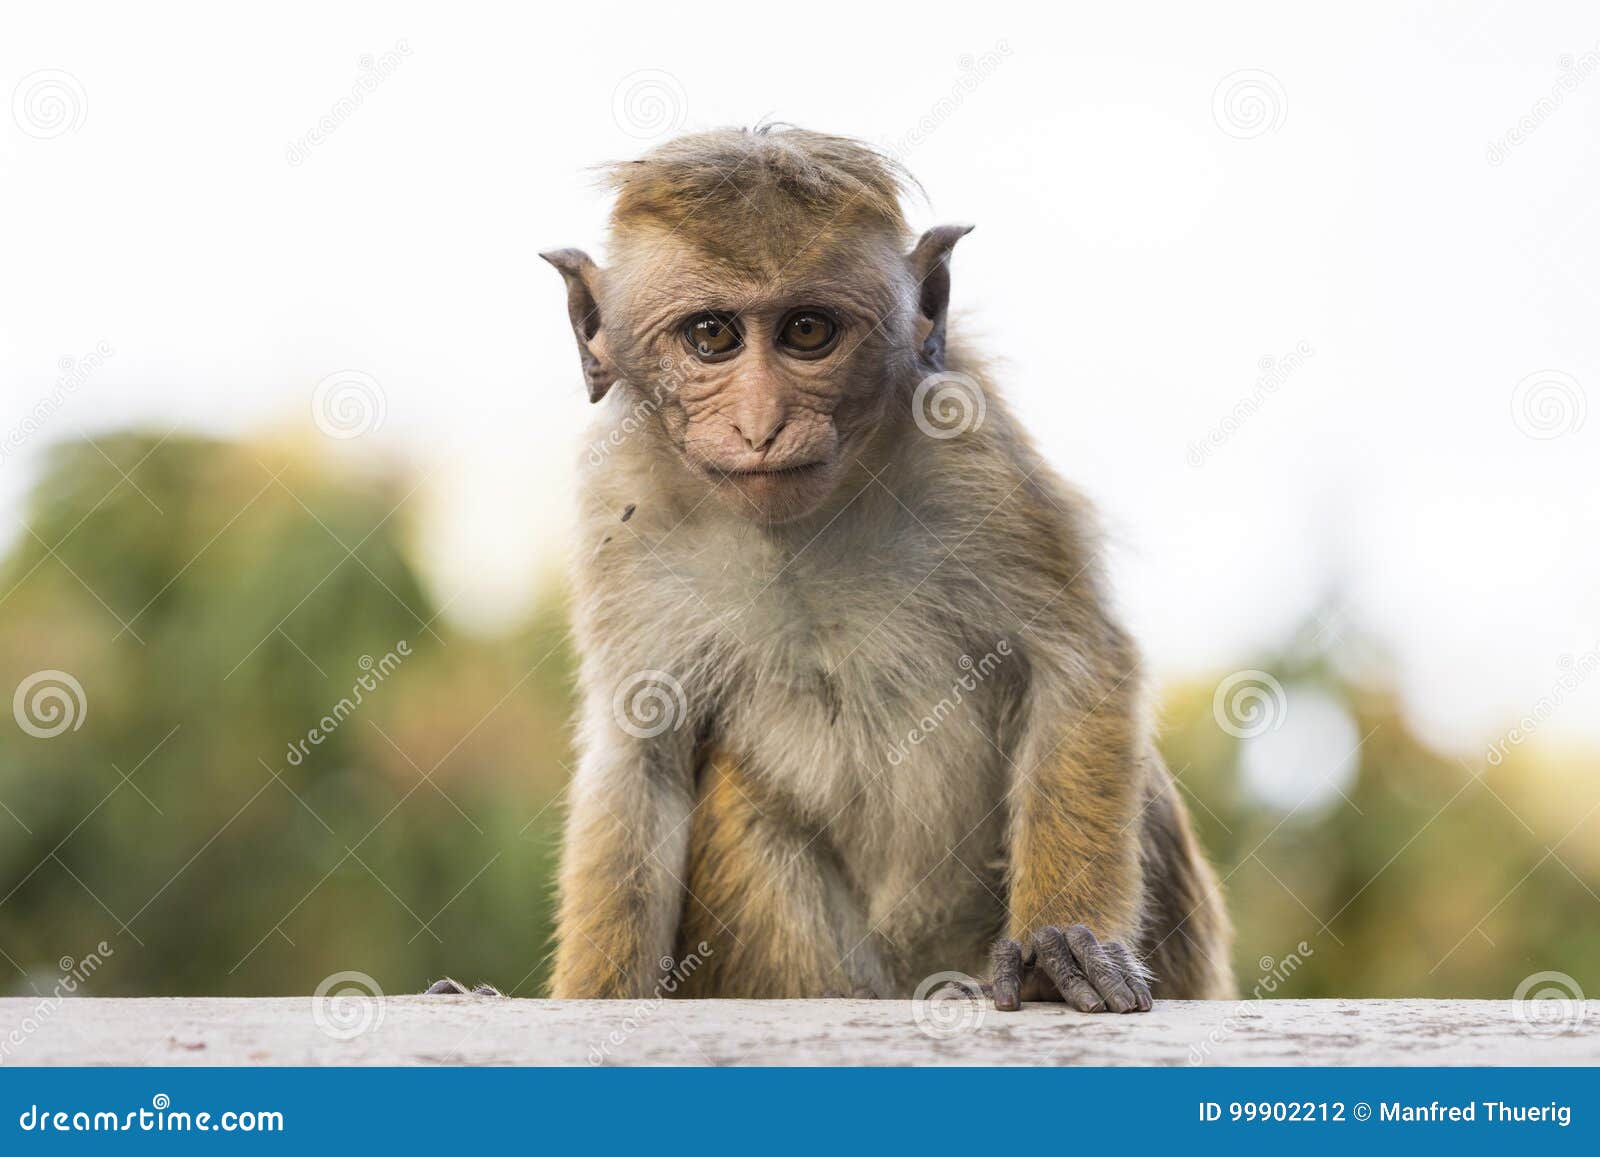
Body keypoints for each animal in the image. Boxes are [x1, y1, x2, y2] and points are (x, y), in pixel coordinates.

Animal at [518, 128, 1228, 1011]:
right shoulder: (618, 508)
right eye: (711, 336)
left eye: (808, 331)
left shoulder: (973, 447)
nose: (762, 424)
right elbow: (640, 757)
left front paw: (1064, 941)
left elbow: (1076, 662)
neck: (798, 527)